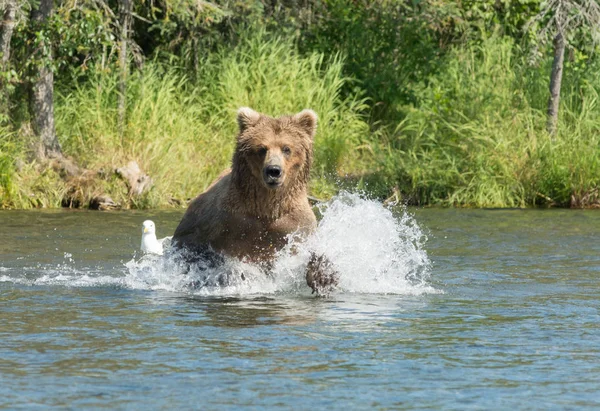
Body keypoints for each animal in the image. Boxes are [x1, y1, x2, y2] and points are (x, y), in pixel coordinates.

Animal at [172, 106, 338, 292]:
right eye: (262, 148)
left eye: (286, 148)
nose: (273, 170)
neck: (265, 206)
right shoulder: (223, 218)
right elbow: (191, 243)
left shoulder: (294, 222)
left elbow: (309, 248)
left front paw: (324, 276)